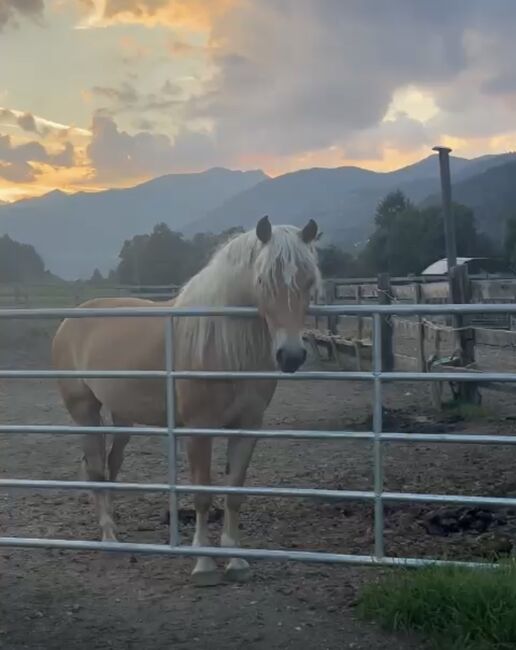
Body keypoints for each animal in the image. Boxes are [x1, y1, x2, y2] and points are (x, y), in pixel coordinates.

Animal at [51, 215, 318, 584]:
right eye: (263, 280)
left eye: (309, 281)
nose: (290, 356)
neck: (222, 346)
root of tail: (70, 319)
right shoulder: (197, 429)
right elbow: (203, 495)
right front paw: (204, 565)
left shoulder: (248, 426)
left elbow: (235, 492)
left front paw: (236, 560)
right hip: (84, 411)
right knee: (94, 468)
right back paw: (109, 538)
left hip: (122, 417)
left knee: (110, 464)